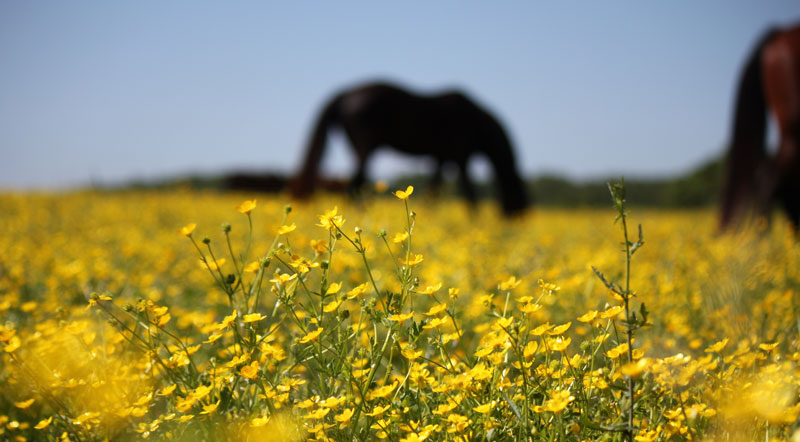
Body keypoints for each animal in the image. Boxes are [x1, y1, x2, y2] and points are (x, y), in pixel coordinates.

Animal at [290, 82, 532, 217]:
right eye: (518, 203)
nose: (513, 221)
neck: (477, 122)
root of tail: (345, 93)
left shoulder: (441, 158)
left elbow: (434, 190)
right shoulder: (460, 157)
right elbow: (469, 192)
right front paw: (474, 219)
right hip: (365, 149)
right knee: (355, 184)